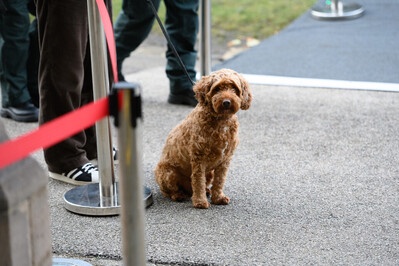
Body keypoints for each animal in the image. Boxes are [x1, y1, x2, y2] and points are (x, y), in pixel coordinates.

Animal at [154, 68, 252, 208]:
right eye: (217, 89)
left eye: (234, 88)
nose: (226, 102)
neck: (221, 121)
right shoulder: (199, 158)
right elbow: (198, 180)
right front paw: (200, 202)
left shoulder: (225, 160)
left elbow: (219, 181)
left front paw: (218, 198)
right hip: (168, 173)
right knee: (169, 191)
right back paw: (178, 195)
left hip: (209, 173)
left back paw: (206, 191)